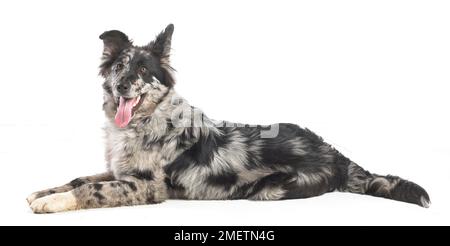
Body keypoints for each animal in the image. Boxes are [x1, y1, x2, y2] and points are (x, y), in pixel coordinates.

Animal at [26, 24, 430, 213]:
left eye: (142, 70)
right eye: (119, 66)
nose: (123, 85)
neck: (146, 121)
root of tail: (337, 154)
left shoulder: (146, 186)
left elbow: (90, 189)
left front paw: (52, 204)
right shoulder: (119, 170)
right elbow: (78, 178)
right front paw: (43, 192)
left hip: (269, 190)